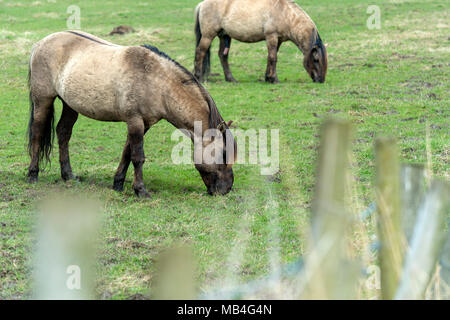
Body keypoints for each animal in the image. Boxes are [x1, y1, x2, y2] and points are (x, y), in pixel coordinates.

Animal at [26, 32, 237, 198]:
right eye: (223, 153)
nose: (226, 189)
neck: (156, 81)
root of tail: (39, 44)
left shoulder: (144, 123)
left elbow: (127, 153)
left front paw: (118, 183)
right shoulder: (134, 121)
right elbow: (137, 156)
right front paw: (140, 190)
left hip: (70, 105)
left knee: (63, 133)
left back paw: (68, 175)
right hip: (43, 100)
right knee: (37, 133)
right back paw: (32, 174)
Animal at [193, 0, 326, 84]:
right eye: (316, 60)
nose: (321, 80)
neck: (285, 14)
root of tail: (202, 4)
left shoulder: (278, 40)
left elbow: (271, 57)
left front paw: (268, 77)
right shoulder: (271, 37)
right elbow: (273, 58)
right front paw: (273, 80)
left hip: (224, 36)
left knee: (223, 55)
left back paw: (231, 79)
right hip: (208, 36)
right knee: (200, 52)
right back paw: (198, 78)